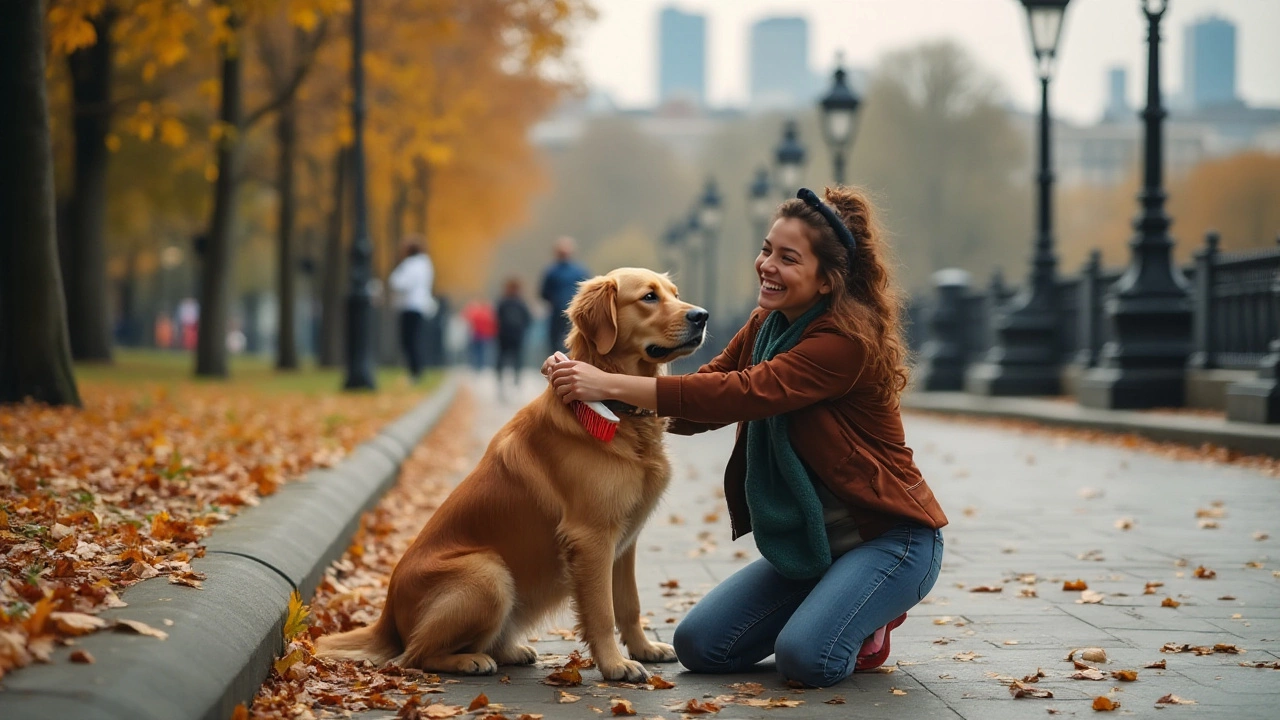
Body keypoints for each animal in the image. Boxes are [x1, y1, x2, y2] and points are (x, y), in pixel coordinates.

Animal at [314, 265, 706, 676]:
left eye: (675, 294)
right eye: (649, 297)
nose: (702, 316)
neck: (615, 408)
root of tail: (387, 615)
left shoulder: (624, 541)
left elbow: (629, 604)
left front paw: (644, 648)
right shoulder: (592, 536)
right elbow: (602, 611)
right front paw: (614, 665)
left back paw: (509, 650)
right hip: (488, 572)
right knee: (414, 656)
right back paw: (469, 659)